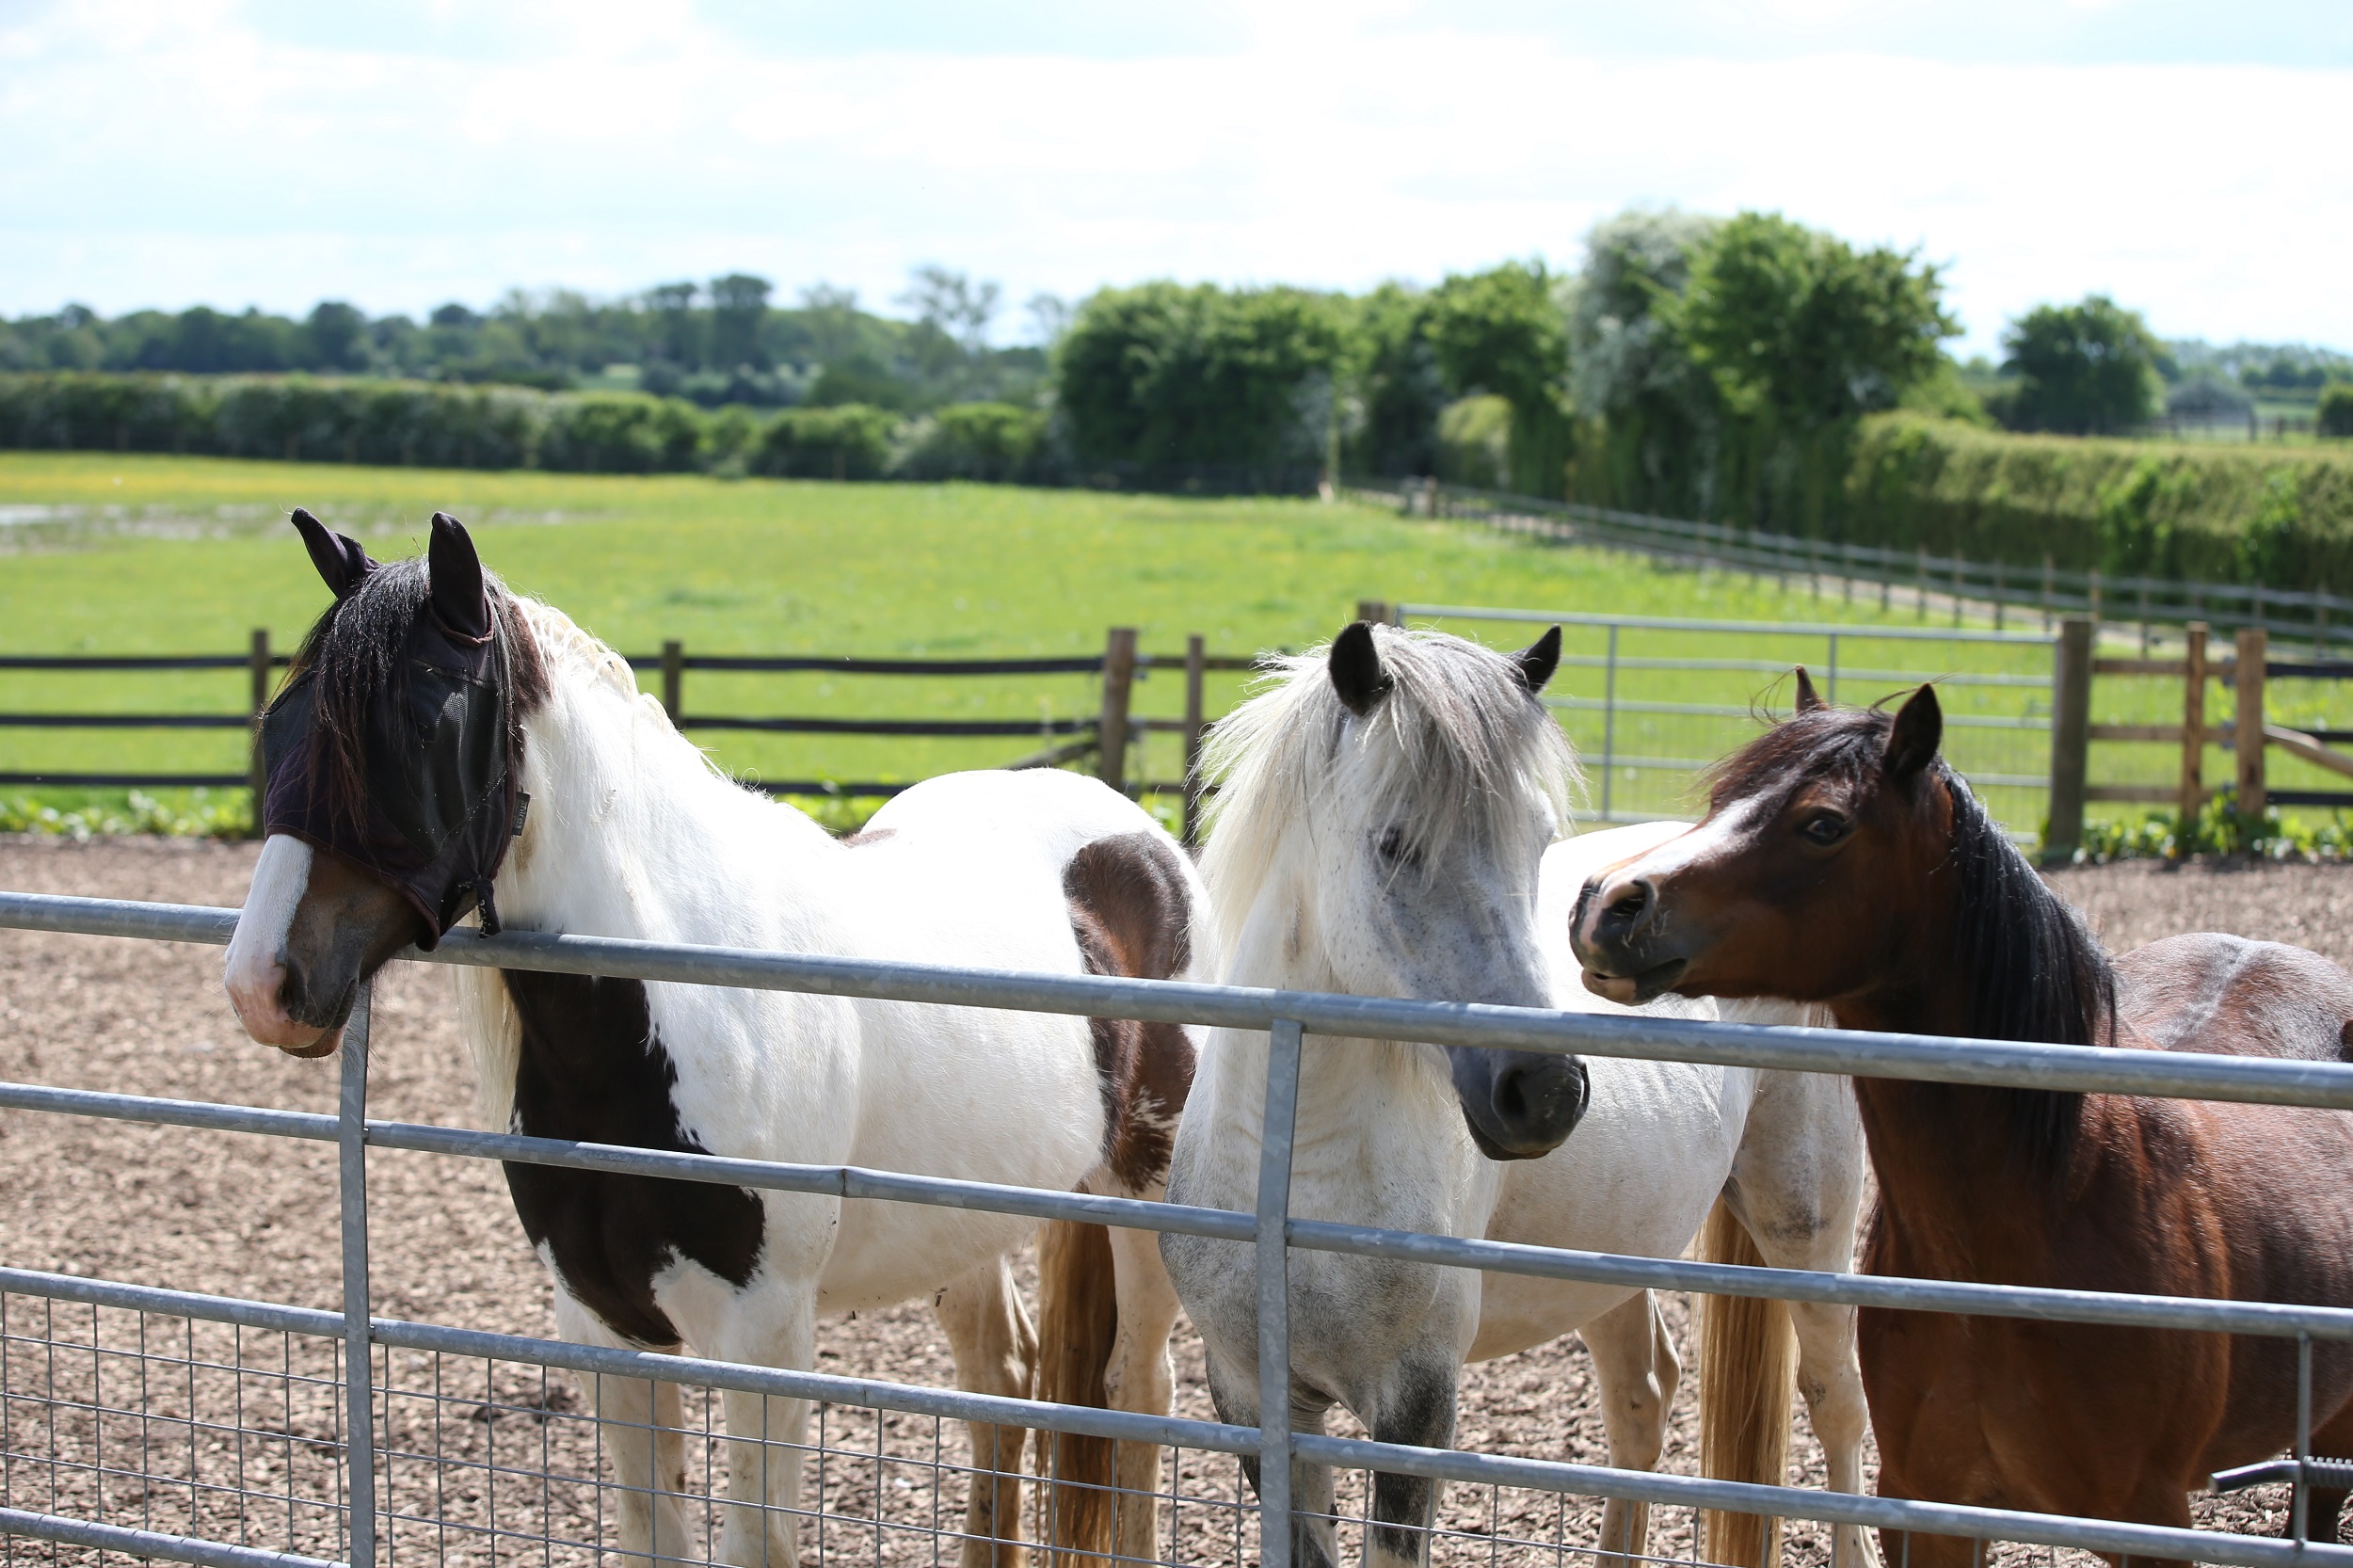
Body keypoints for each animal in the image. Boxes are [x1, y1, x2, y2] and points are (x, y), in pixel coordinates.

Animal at [222, 509, 1206, 1568]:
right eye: (282, 722)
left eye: (418, 728)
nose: (262, 985)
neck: (677, 1008)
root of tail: (1136, 835)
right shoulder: (605, 1325)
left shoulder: (763, 1334)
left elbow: (756, 1539)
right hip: (966, 1223)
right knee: (1004, 1378)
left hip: (1144, 1203)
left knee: (1136, 1391)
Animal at [1159, 622, 1877, 1568]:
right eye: (1394, 844)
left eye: (1535, 842)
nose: (1546, 1092)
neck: (1292, 1159)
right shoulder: (1254, 1399)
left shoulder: (1415, 1406)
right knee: (1643, 1398)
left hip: (1807, 1229)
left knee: (1835, 1403)